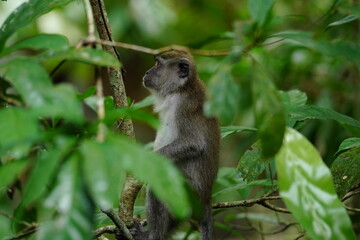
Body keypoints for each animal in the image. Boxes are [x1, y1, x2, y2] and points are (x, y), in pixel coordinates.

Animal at [132, 49, 219, 239]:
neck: (180, 89)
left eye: (158, 64)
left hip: (190, 195)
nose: (147, 72)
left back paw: (152, 236)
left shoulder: (184, 106)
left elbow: (193, 143)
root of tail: (207, 199)